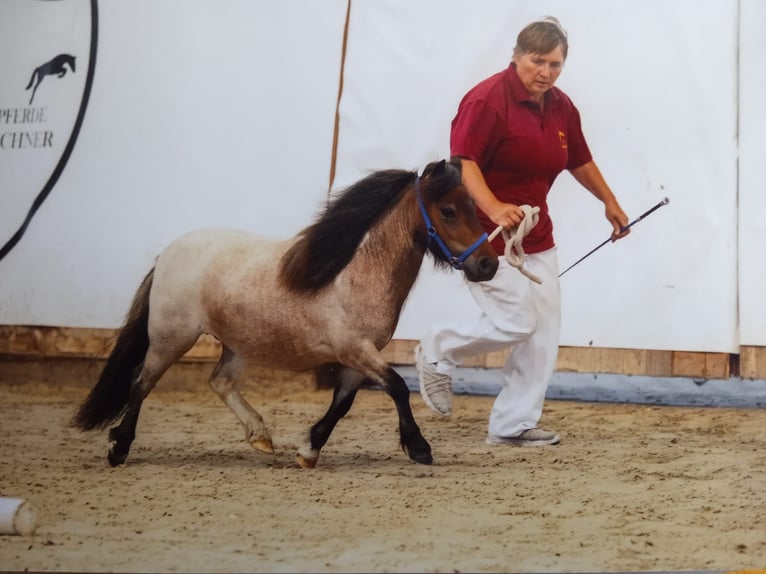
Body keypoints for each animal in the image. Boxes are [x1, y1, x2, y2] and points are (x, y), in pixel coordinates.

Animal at [73, 158, 498, 468]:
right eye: (448, 210)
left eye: (472, 206)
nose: (488, 264)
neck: (356, 273)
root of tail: (168, 254)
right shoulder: (356, 349)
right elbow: (396, 387)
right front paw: (419, 447)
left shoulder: (357, 358)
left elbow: (343, 404)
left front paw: (309, 449)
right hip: (171, 337)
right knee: (141, 383)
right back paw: (119, 448)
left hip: (237, 344)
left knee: (219, 382)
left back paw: (261, 436)